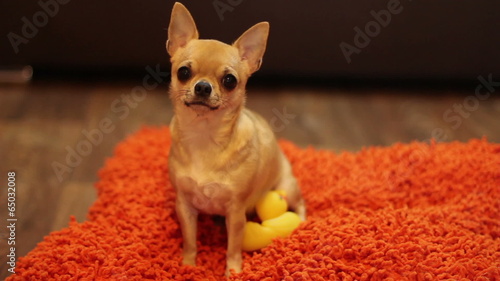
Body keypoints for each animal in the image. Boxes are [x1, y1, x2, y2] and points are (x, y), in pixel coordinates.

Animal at [167, 2, 304, 276]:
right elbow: (190, 240)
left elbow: (232, 248)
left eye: (229, 80)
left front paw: (233, 272)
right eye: (183, 72)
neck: (205, 136)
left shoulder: (236, 212)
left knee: (301, 203)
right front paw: (188, 266)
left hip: (286, 187)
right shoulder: (184, 206)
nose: (203, 87)